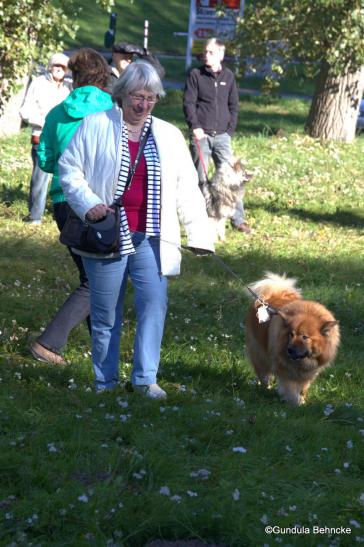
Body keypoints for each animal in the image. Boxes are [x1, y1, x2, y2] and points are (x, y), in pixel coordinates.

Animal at [246, 274, 340, 406]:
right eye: (291, 334)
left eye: (304, 337)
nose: (289, 350)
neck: (302, 362)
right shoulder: (285, 371)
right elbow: (290, 389)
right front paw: (295, 402)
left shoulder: (307, 374)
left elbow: (302, 389)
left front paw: (302, 400)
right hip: (260, 355)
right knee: (264, 374)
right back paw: (266, 389)